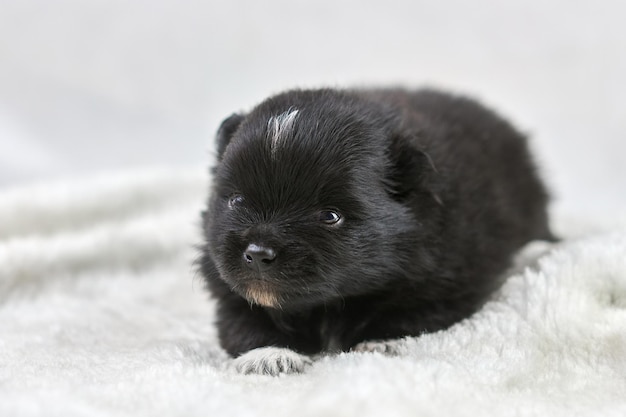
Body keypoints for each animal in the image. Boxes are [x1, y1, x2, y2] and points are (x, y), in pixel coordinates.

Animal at [199, 88, 552, 374]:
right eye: (237, 200)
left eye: (330, 216)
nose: (258, 254)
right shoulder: (226, 287)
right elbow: (243, 317)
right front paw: (268, 354)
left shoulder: (451, 279)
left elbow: (410, 311)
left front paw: (379, 341)